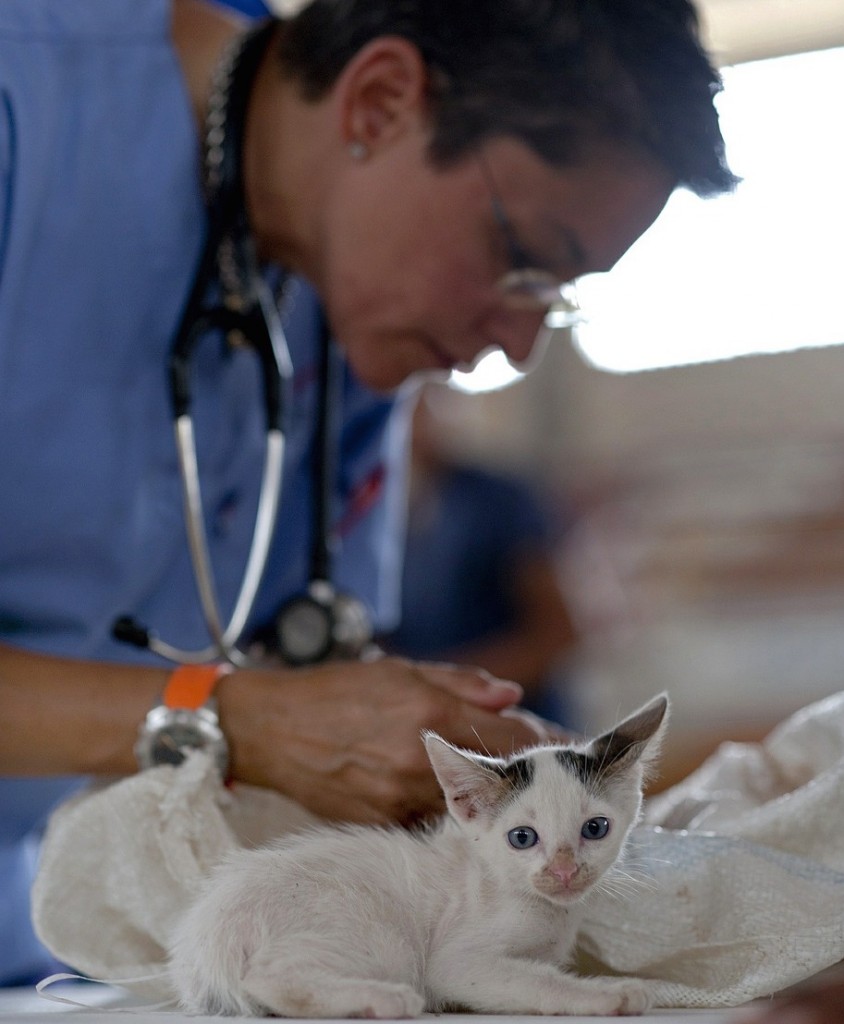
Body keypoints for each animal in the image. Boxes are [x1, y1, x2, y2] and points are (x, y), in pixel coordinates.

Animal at [170, 692, 667, 1019]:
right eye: (522, 838)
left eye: (595, 829)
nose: (564, 871)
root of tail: (207, 940)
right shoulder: (457, 963)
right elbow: (534, 982)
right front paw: (611, 994)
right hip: (380, 939)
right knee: (268, 978)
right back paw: (383, 1000)